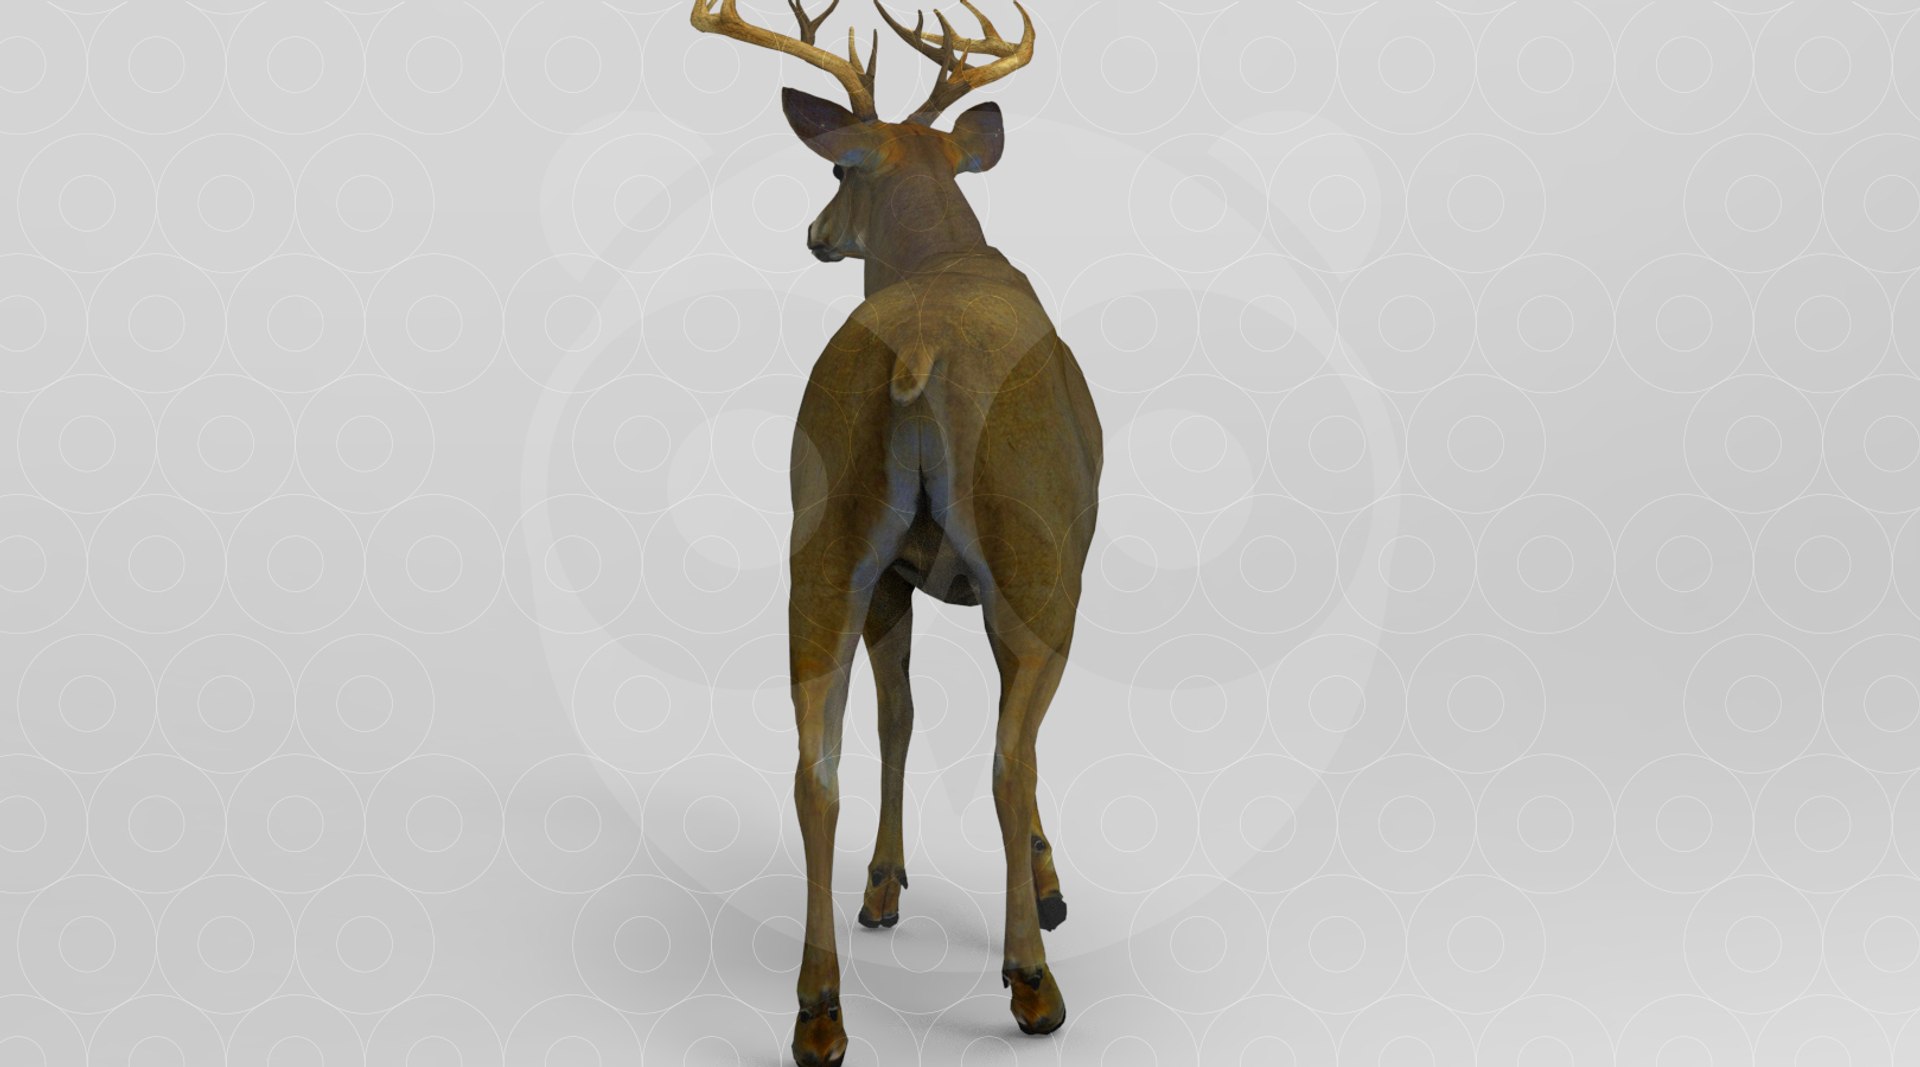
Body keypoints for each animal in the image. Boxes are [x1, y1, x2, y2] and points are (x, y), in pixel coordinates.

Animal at [688, 0, 1103, 1063]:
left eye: (839, 172)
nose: (815, 233)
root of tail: (915, 356)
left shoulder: (895, 581)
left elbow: (896, 715)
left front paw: (884, 885)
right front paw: (1046, 884)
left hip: (823, 539)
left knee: (815, 765)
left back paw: (819, 1010)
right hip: (1036, 554)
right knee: (1007, 755)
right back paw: (1033, 978)